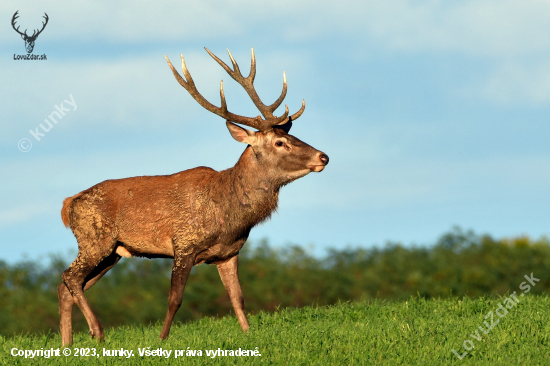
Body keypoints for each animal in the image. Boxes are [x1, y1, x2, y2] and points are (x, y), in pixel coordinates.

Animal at [58, 48, 330, 346]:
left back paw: (67, 344)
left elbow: (238, 298)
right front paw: (162, 339)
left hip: (112, 253)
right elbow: (174, 299)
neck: (228, 215)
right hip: (94, 240)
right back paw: (97, 331)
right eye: (280, 143)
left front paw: (248, 335)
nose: (323, 157)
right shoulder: (184, 244)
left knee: (66, 287)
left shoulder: (229, 253)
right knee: (69, 277)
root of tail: (68, 204)